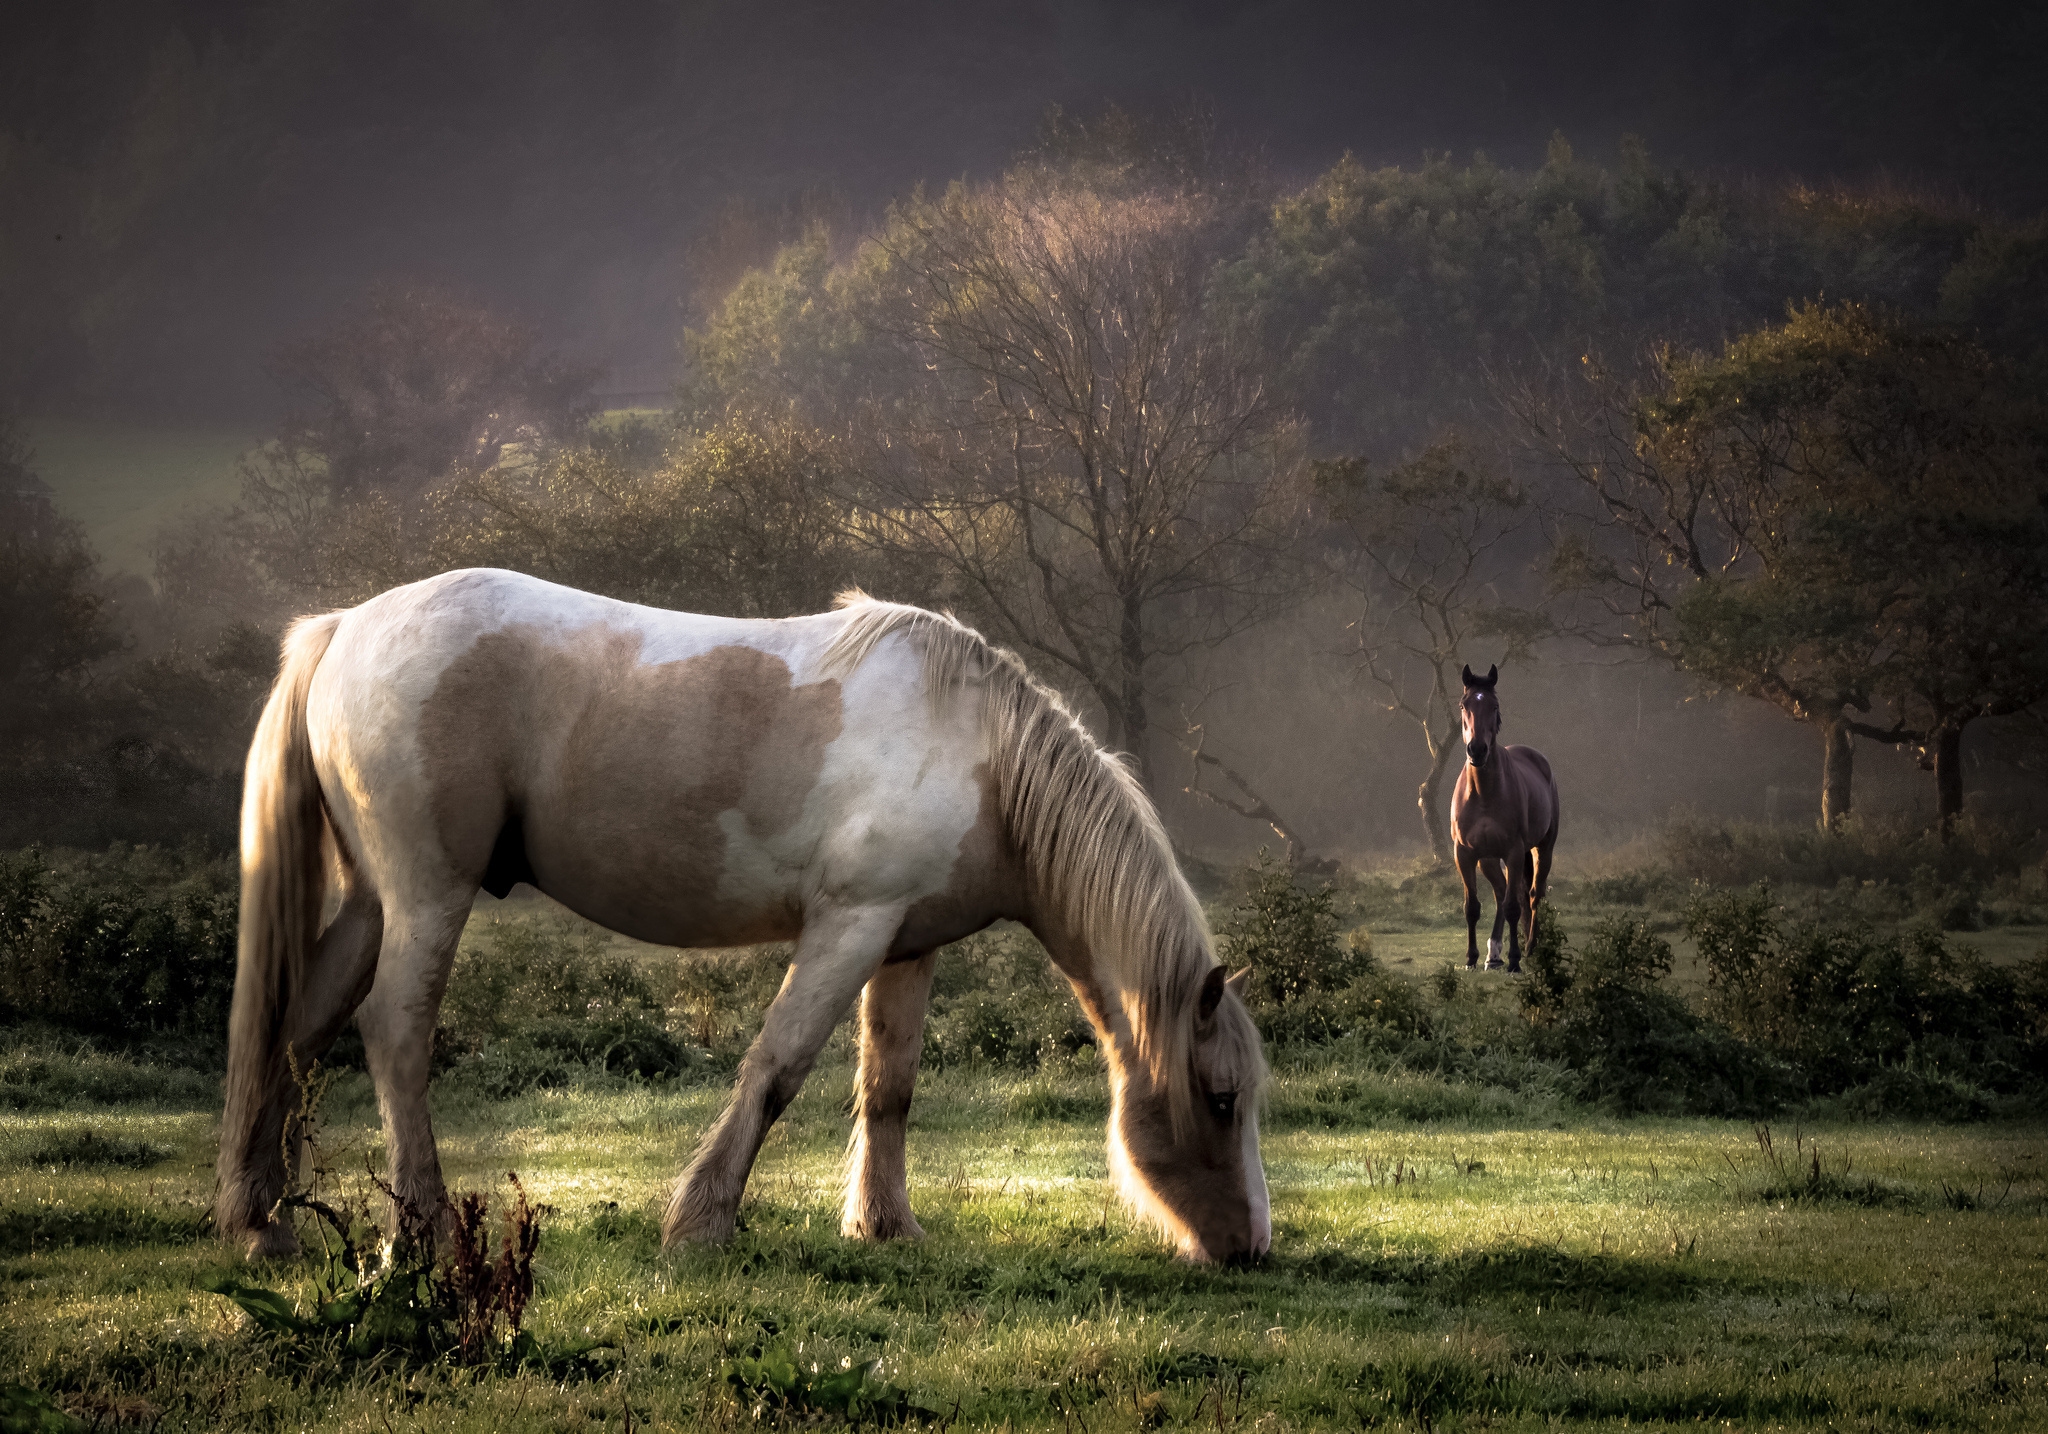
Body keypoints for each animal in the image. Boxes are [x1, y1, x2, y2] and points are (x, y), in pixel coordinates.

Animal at [228, 569, 1277, 1261]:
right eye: (1222, 1098)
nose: (1249, 1248)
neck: (979, 754)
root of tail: (344, 628)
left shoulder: (906, 944)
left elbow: (888, 1089)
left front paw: (885, 1227)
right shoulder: (848, 928)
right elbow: (777, 1070)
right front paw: (701, 1224)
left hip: (373, 904)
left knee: (299, 1028)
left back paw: (260, 1220)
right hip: (427, 896)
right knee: (394, 1035)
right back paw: (426, 1234)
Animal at [1449, 667, 1556, 971]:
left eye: (1494, 706)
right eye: (1464, 705)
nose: (1477, 750)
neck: (1484, 793)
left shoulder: (1514, 851)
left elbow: (1513, 906)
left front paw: (1515, 961)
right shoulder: (1465, 854)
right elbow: (1472, 907)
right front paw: (1471, 958)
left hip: (1542, 848)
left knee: (1532, 895)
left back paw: (1530, 948)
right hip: (1487, 859)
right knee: (1499, 893)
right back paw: (1493, 955)